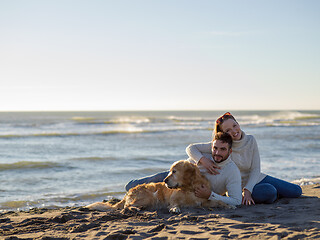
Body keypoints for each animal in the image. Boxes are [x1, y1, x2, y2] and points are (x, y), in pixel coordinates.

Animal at [86, 160, 234, 213]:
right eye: (170, 171)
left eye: (174, 171)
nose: (165, 180)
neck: (190, 187)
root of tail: (128, 193)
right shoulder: (173, 198)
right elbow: (175, 203)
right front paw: (174, 208)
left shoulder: (203, 201)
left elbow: (217, 201)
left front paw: (228, 205)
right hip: (149, 196)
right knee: (126, 206)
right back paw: (135, 208)